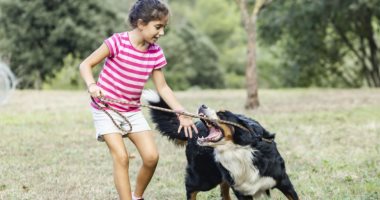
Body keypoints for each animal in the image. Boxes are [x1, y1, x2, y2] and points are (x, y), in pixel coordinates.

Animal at [144, 91, 298, 200]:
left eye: (222, 114)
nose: (202, 105)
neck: (239, 150)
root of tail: (195, 125)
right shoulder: (242, 191)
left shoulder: (284, 181)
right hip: (205, 177)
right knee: (191, 188)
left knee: (224, 193)